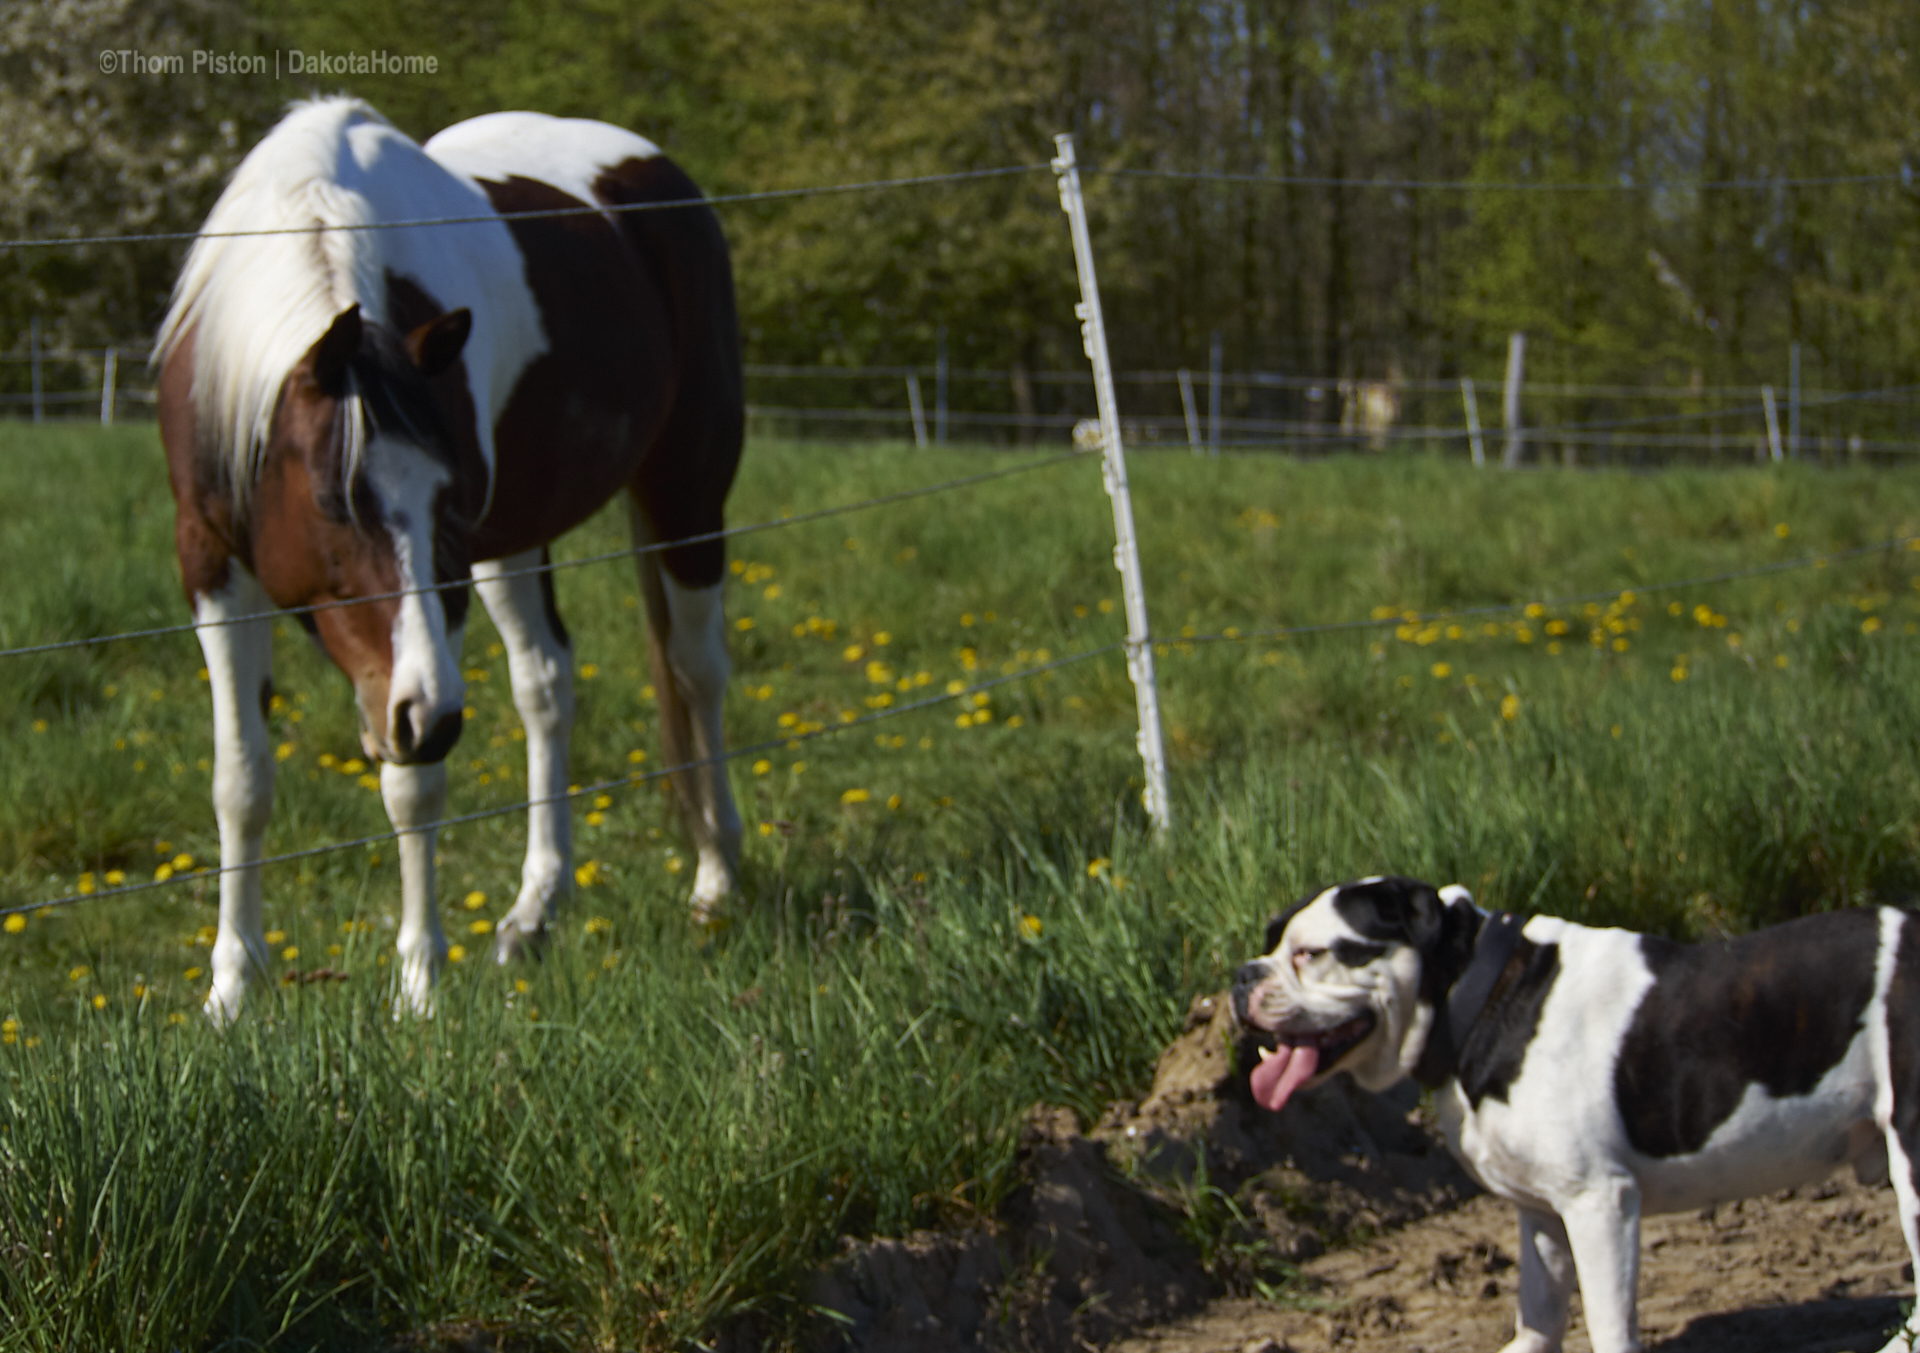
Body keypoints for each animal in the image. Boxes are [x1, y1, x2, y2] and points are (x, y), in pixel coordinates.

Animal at [157, 94, 744, 1020]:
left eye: (444, 501)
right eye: (332, 501)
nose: (427, 716)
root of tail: (659, 176)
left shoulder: (448, 586)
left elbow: (414, 787)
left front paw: (420, 981)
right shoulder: (212, 567)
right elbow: (240, 781)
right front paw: (231, 987)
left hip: (687, 496)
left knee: (697, 672)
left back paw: (715, 881)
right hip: (520, 541)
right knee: (547, 684)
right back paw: (534, 912)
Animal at [1228, 875, 1920, 1351]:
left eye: (1312, 953)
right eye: (1271, 940)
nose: (1241, 976)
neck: (1479, 996)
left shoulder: (1599, 1205)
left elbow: (1610, 1324)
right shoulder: (1543, 1212)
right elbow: (1539, 1312)